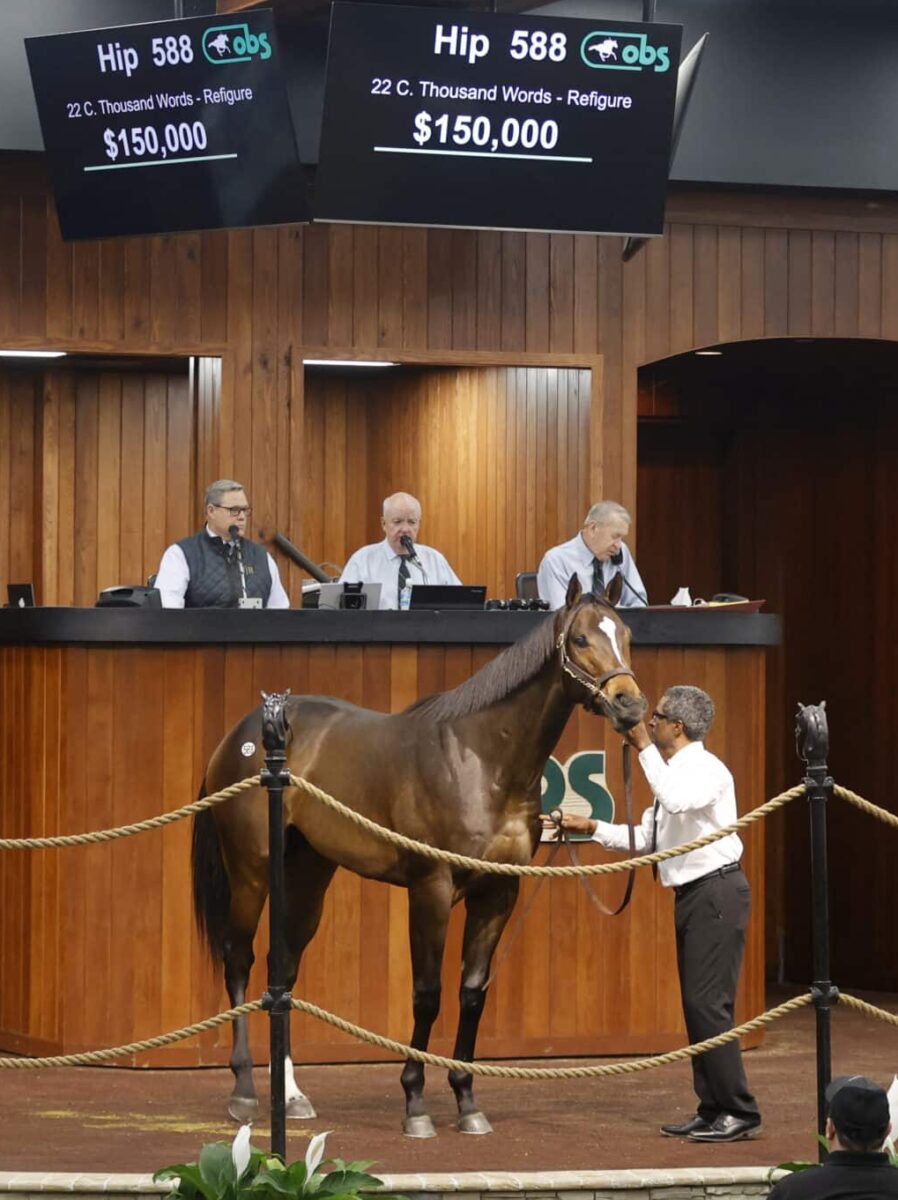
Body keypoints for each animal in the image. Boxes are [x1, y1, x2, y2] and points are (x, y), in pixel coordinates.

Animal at [193, 576, 648, 1137]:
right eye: (582, 639)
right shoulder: (430, 888)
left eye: (626, 635)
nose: (630, 705)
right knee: (239, 958)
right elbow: (427, 993)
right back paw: (244, 1092)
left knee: (284, 971)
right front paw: (415, 1103)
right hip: (252, 872)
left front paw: (468, 1101)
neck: (481, 761)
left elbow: (472, 992)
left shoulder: (499, 892)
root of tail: (245, 732)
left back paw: (293, 1095)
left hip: (307, 875)